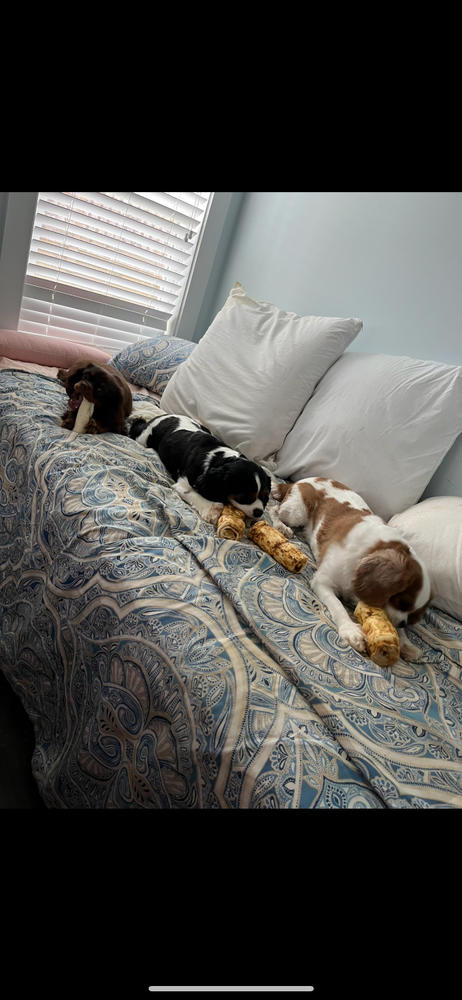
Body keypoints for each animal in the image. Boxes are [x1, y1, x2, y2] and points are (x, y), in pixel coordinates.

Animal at [127, 410, 270, 528]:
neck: (218, 457)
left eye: (265, 496)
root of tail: (163, 416)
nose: (259, 512)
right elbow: (192, 493)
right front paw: (211, 509)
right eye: (244, 497)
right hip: (144, 438)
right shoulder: (183, 483)